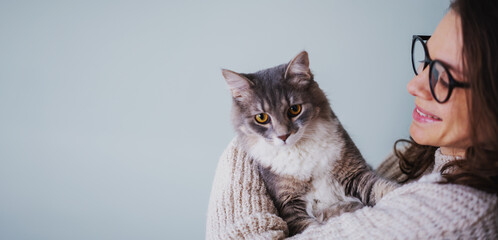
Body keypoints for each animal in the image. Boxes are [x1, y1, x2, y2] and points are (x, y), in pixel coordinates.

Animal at [222, 51, 396, 236]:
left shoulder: (355, 173)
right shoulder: (288, 203)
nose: (283, 136)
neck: (299, 149)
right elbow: (311, 228)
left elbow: (382, 187)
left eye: (294, 109)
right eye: (261, 117)